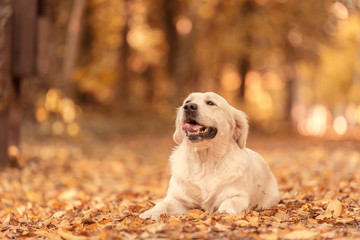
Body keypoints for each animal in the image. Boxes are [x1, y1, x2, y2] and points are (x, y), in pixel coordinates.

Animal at [139, 92, 280, 221]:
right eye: (187, 101)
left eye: (211, 103)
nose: (189, 106)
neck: (205, 161)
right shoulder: (178, 198)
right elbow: (163, 203)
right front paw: (150, 213)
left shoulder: (239, 196)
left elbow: (228, 202)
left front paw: (223, 213)